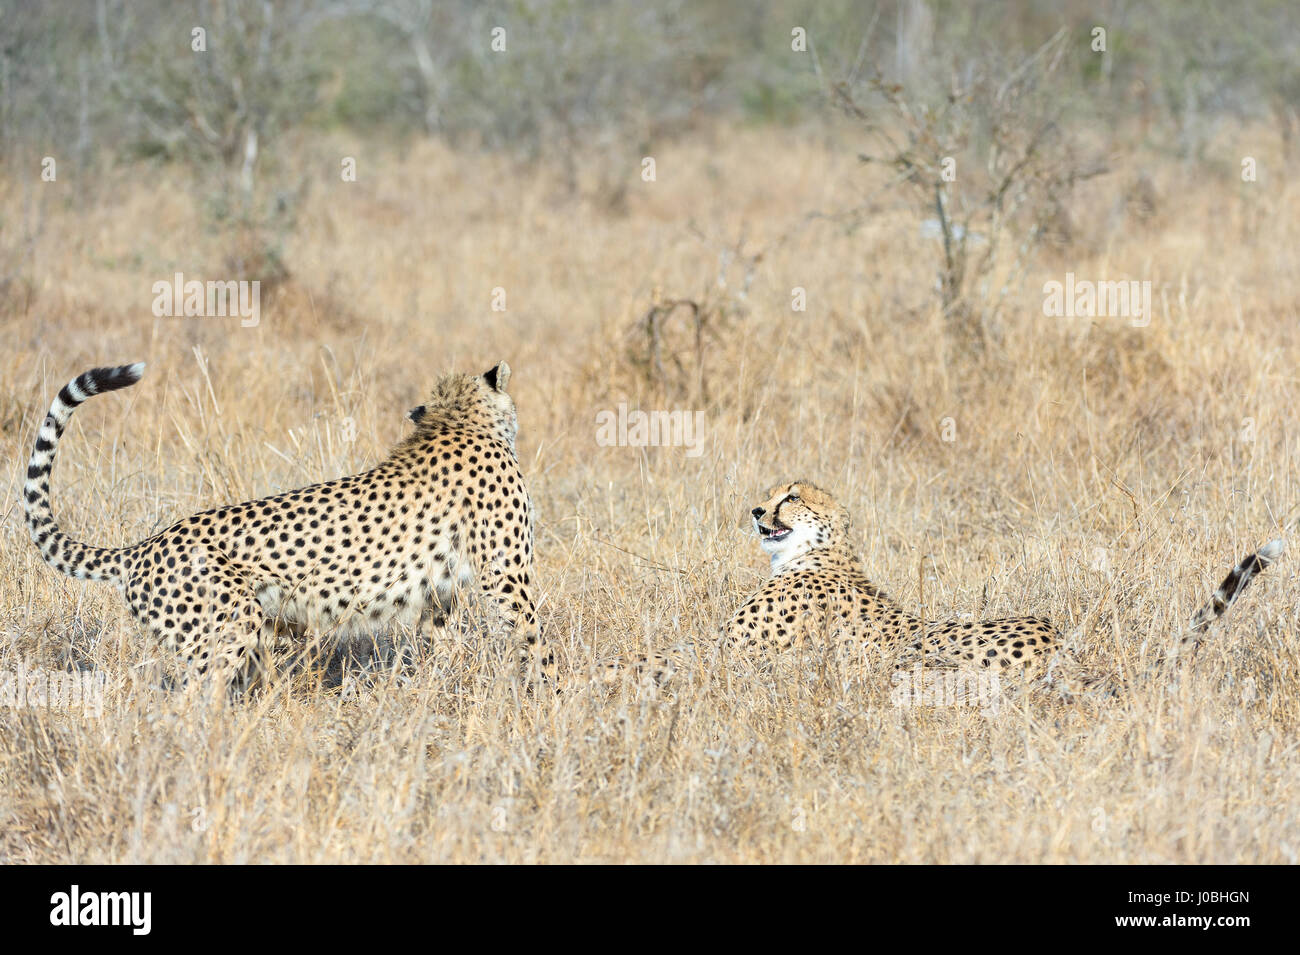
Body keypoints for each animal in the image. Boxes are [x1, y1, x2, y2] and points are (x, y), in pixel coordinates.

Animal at [25, 361, 546, 691]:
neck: (460, 420)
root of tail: (144, 546)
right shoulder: (506, 577)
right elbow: (536, 640)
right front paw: (549, 702)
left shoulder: (439, 595)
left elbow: (441, 648)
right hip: (228, 631)